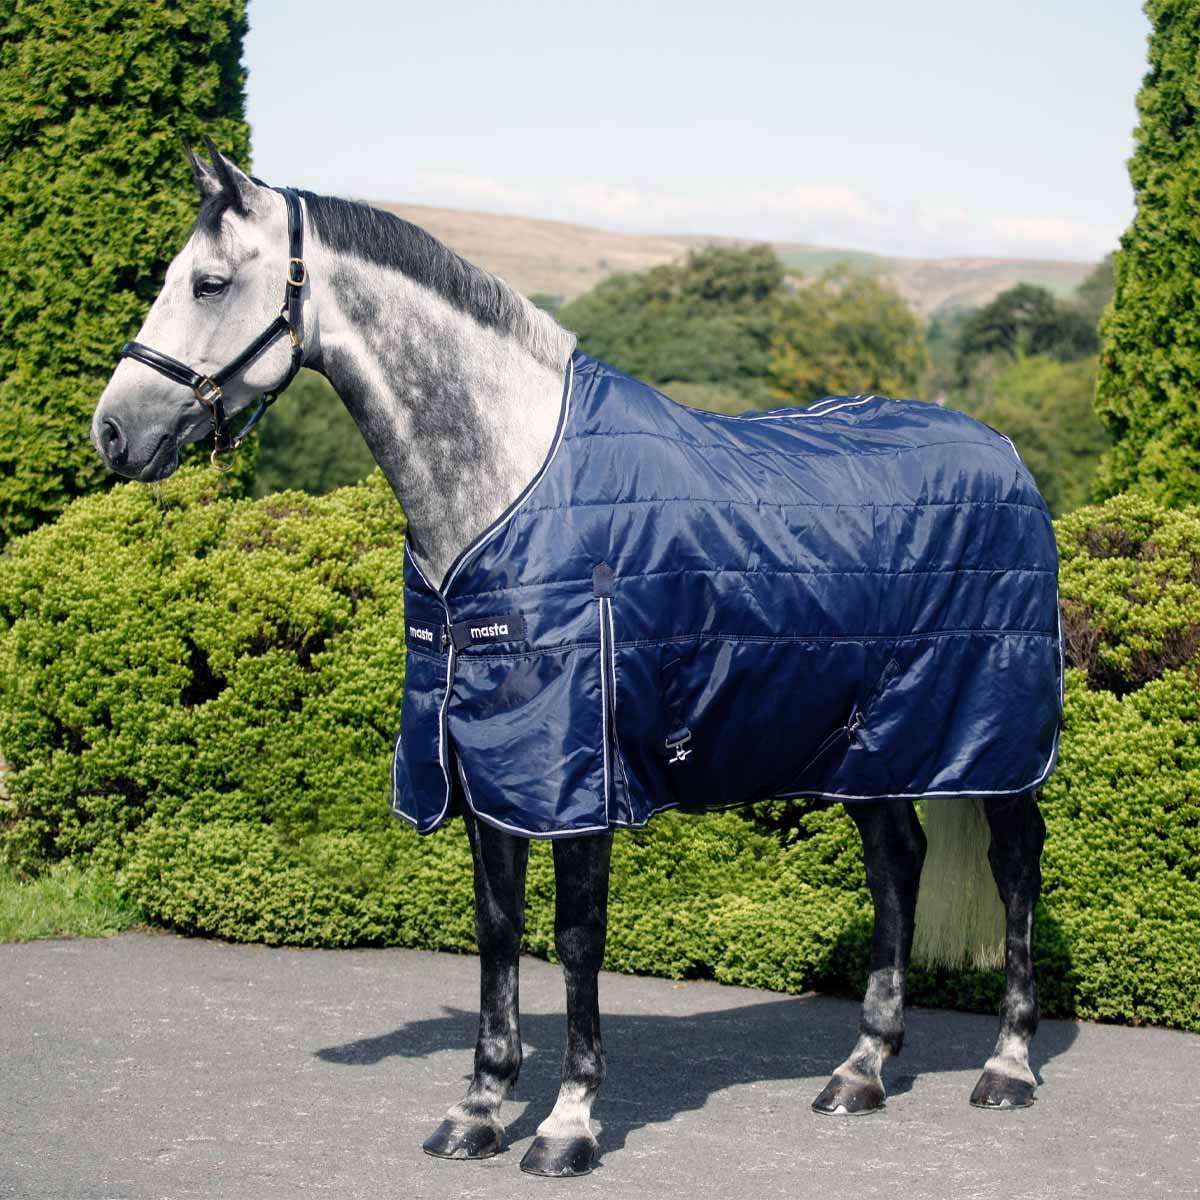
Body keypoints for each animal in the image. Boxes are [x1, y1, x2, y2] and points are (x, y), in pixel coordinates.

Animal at [93, 144, 1056, 1179]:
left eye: (209, 282)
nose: (113, 432)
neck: (506, 481)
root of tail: (1006, 453)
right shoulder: (486, 766)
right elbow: (498, 931)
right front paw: (478, 1109)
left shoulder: (577, 773)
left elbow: (576, 938)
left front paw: (568, 1122)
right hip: (871, 743)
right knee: (899, 864)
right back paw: (862, 1069)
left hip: (997, 743)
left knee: (1013, 866)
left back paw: (1007, 1065)